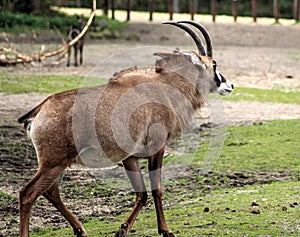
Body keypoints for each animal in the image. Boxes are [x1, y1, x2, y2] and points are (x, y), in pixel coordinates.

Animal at [17, 20, 234, 237]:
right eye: (214, 64)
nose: (230, 85)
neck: (166, 86)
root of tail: (41, 109)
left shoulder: (131, 157)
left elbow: (142, 193)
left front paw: (122, 229)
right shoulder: (157, 146)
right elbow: (156, 189)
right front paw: (165, 230)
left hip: (59, 164)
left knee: (51, 191)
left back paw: (80, 229)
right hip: (53, 162)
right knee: (28, 193)